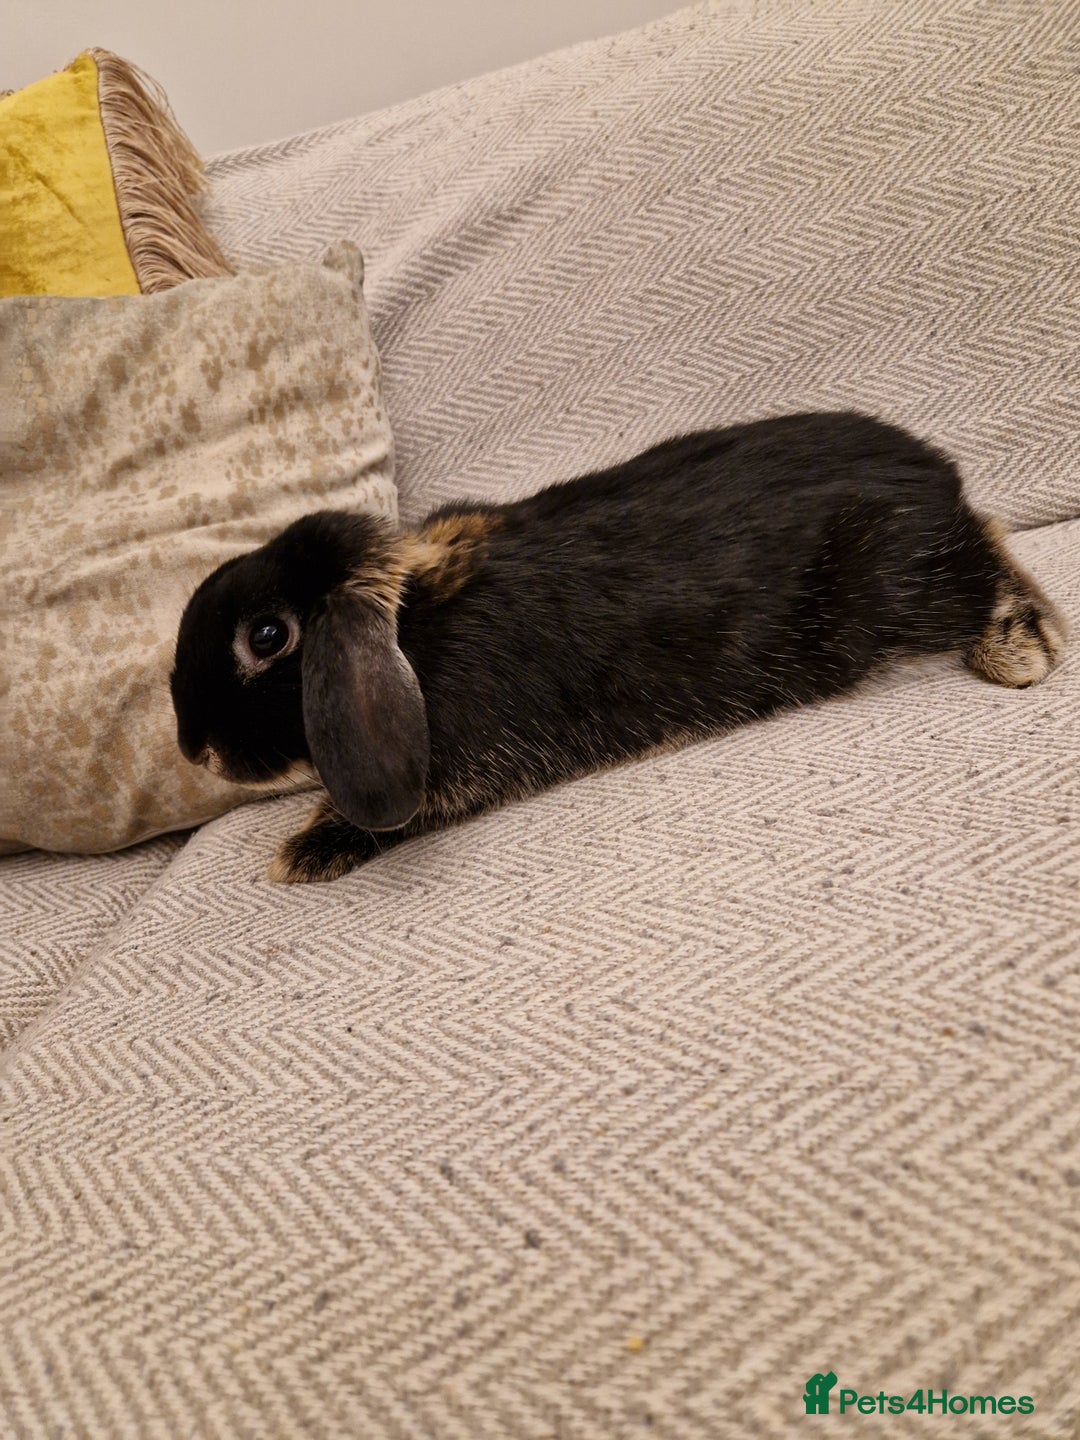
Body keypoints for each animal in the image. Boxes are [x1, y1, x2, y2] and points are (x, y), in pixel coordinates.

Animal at [171, 410, 1066, 882]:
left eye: (267, 637)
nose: (191, 749)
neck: (412, 628)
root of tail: (936, 471)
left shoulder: (454, 772)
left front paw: (301, 852)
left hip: (900, 590)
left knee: (984, 564)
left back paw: (1023, 648)